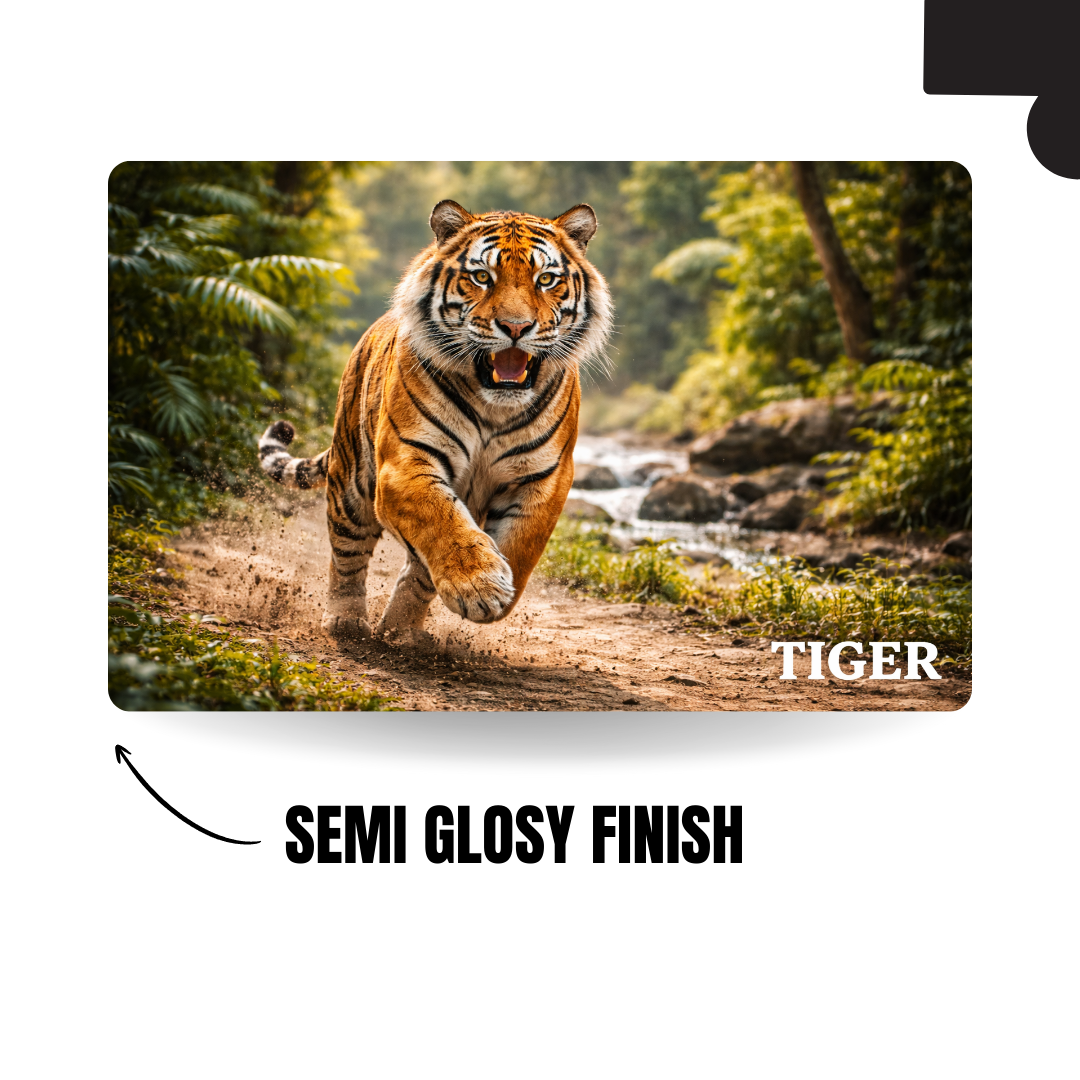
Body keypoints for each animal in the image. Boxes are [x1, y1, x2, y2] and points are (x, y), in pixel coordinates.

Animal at [257, 199, 613, 646]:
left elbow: (520, 544)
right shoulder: (405, 461)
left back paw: (402, 630)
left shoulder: (546, 477)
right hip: (351, 484)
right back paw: (346, 621)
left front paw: (496, 591)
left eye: (546, 279)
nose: (516, 327)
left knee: (417, 571)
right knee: (347, 555)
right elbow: (440, 520)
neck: (495, 406)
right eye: (482, 277)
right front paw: (481, 585)